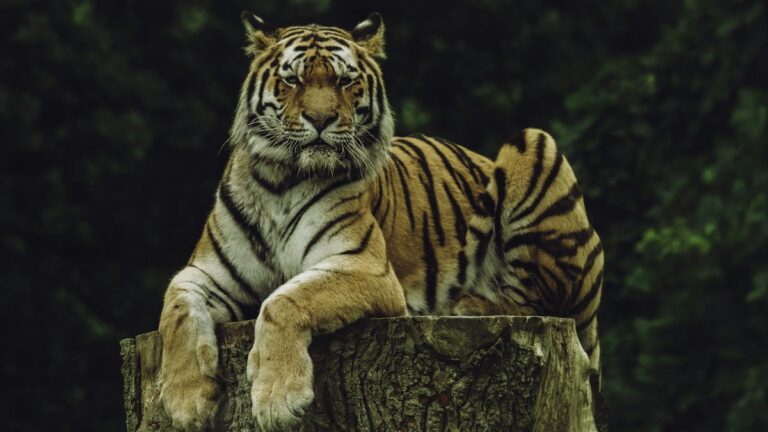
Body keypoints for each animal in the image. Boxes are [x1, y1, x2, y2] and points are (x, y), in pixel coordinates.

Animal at [157, 11, 604, 432]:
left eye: (344, 81)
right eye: (292, 80)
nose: (320, 120)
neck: (281, 182)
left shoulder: (364, 266)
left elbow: (283, 300)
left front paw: (278, 400)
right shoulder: (207, 272)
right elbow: (175, 309)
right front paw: (185, 402)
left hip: (534, 143)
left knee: (541, 297)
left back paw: (468, 304)